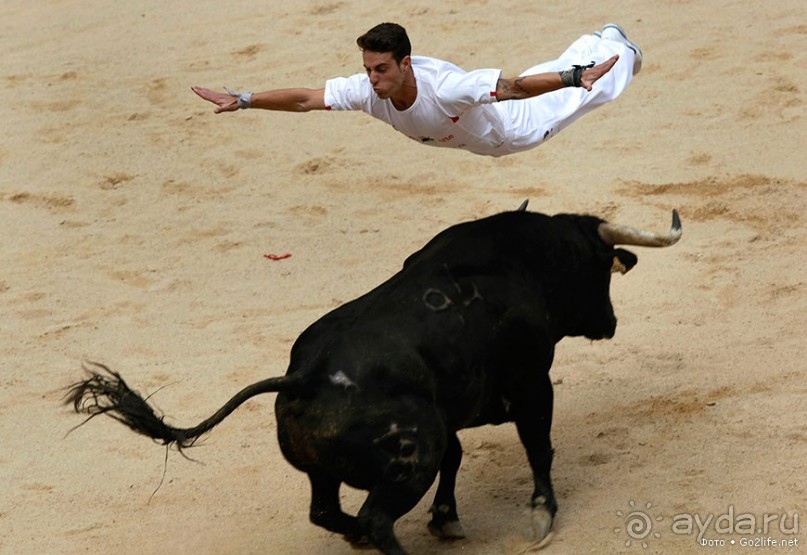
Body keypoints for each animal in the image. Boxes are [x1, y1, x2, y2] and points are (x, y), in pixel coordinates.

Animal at [64, 205, 680, 555]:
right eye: (601, 268)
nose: (609, 323)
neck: (526, 259)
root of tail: (304, 378)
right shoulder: (531, 383)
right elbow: (538, 447)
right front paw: (541, 515)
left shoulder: (448, 413)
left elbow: (458, 458)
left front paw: (447, 521)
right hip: (411, 459)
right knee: (377, 518)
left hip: (336, 466)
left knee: (326, 512)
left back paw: (358, 537)